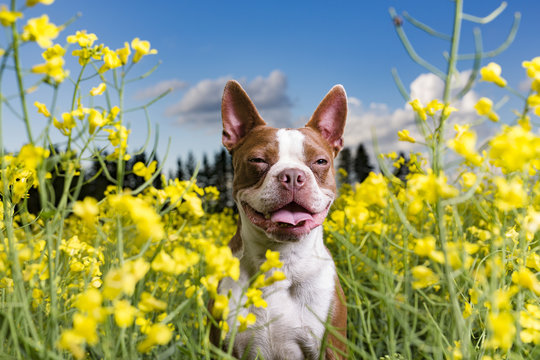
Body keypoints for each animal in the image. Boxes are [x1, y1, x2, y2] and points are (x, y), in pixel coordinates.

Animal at [211, 81, 346, 360]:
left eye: (320, 162)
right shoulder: (222, 347)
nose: (293, 175)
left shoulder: (331, 348)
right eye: (258, 160)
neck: (281, 261)